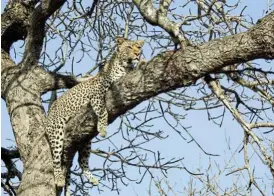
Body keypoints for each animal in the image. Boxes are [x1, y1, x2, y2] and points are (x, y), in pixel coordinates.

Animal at [45, 36, 143, 190]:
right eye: (129, 47)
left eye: (138, 47)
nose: (138, 54)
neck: (124, 67)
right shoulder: (97, 95)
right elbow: (103, 112)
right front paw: (102, 129)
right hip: (57, 131)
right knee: (56, 158)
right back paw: (59, 179)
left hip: (86, 141)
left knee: (81, 160)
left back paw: (92, 179)